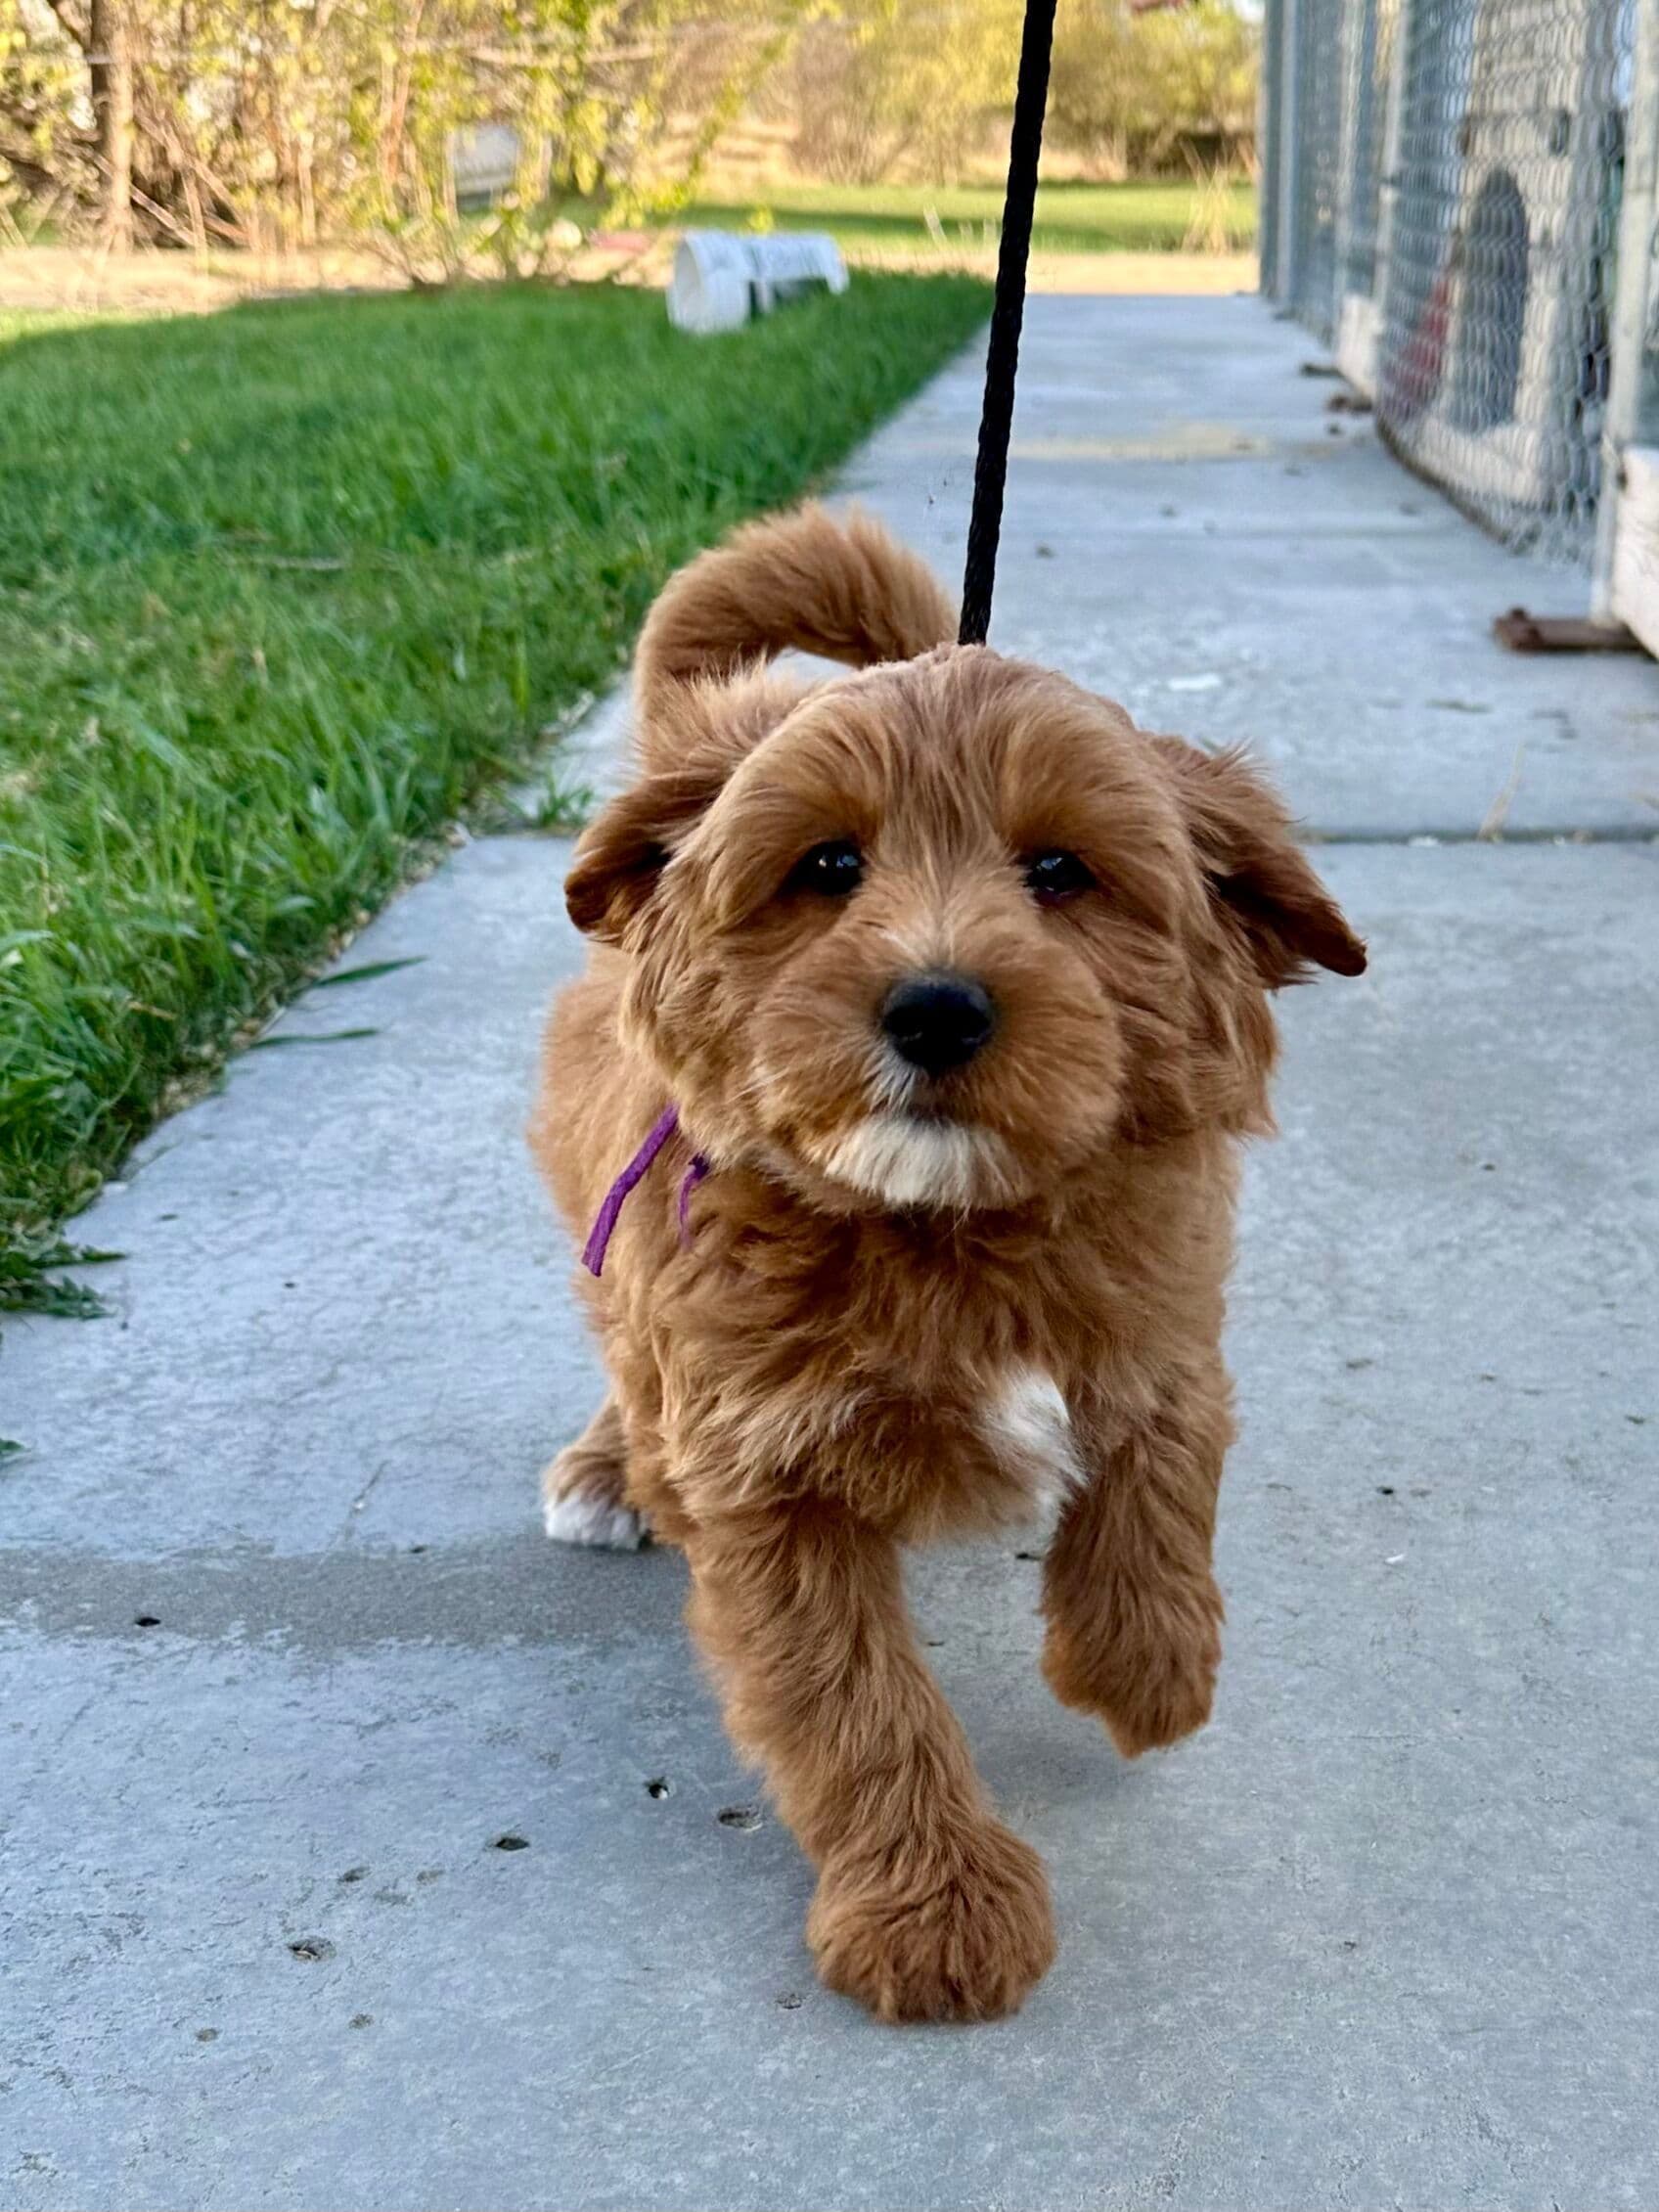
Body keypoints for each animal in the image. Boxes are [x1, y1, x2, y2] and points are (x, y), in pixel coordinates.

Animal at [528, 506, 1362, 2026]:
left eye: (1060, 872)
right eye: (826, 868)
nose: (933, 1006)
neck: (947, 1228)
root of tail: (722, 726)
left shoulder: (1165, 1309)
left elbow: (1162, 1467)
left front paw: (1144, 1662)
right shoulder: (765, 1478)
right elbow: (859, 1705)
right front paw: (936, 1910)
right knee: (623, 1348)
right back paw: (613, 1468)